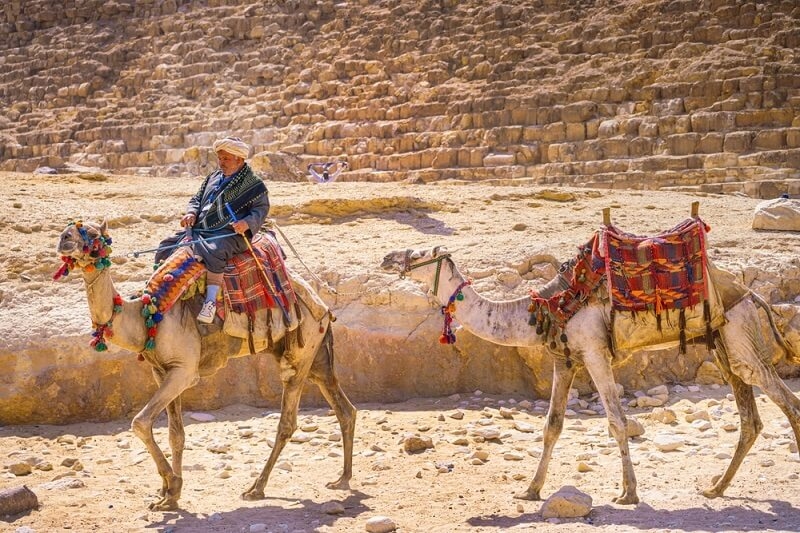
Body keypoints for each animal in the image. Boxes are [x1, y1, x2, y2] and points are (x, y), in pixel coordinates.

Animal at [56, 220, 356, 511]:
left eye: (92, 233)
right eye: (69, 229)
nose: (64, 238)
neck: (147, 318)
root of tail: (322, 304)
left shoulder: (184, 371)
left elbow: (140, 422)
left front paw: (173, 485)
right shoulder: (161, 371)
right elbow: (175, 433)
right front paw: (168, 497)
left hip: (300, 352)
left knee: (288, 421)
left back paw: (256, 488)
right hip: (316, 357)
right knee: (344, 408)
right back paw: (342, 479)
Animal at [381, 238, 800, 505]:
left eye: (419, 253)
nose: (386, 258)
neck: (547, 306)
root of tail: (753, 294)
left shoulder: (596, 353)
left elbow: (616, 420)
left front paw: (628, 493)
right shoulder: (565, 358)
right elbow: (552, 425)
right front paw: (530, 490)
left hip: (741, 335)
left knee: (786, 401)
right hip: (724, 346)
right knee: (750, 417)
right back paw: (714, 489)